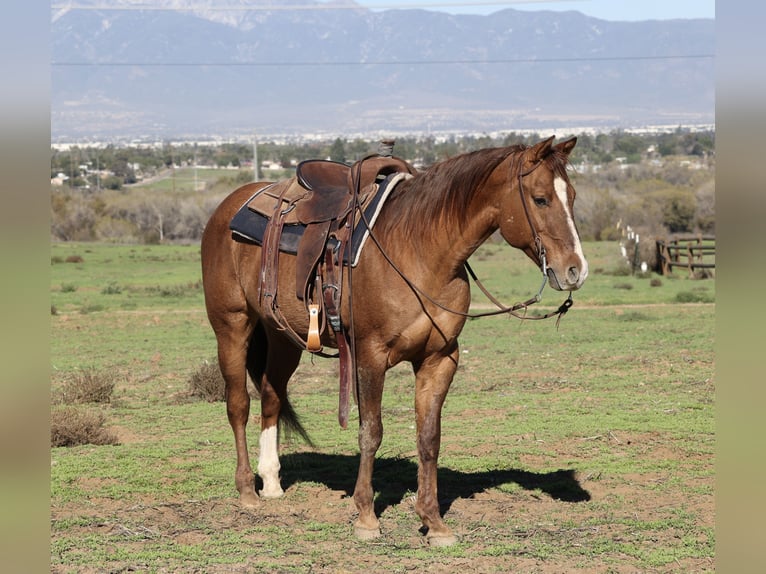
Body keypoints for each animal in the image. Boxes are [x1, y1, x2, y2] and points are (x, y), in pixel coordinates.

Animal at [200, 136, 588, 546]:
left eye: (572, 196)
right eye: (540, 199)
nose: (575, 271)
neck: (419, 250)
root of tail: (228, 208)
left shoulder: (440, 358)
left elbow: (429, 436)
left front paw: (433, 521)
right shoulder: (370, 357)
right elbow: (371, 432)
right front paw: (366, 517)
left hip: (283, 338)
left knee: (271, 397)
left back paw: (272, 483)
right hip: (232, 326)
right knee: (239, 405)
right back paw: (247, 490)